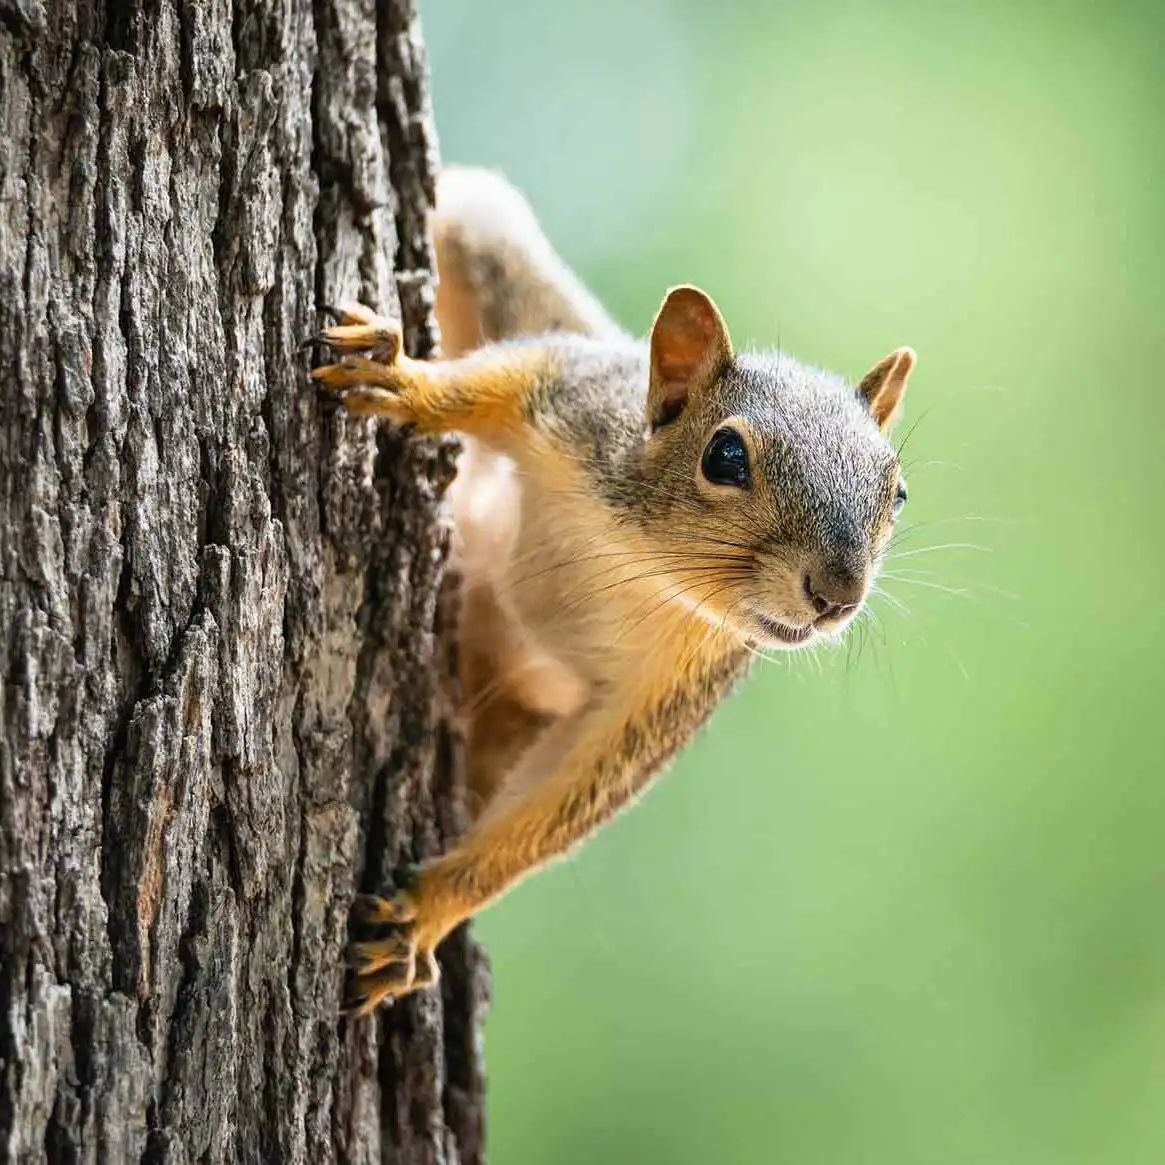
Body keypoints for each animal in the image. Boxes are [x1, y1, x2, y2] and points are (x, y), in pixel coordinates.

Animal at [310, 166, 916, 1013]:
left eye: (897, 494)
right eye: (724, 456)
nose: (837, 593)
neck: (640, 561)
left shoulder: (670, 692)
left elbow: (566, 799)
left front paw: (424, 914)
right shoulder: (572, 400)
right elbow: (487, 382)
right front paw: (403, 380)